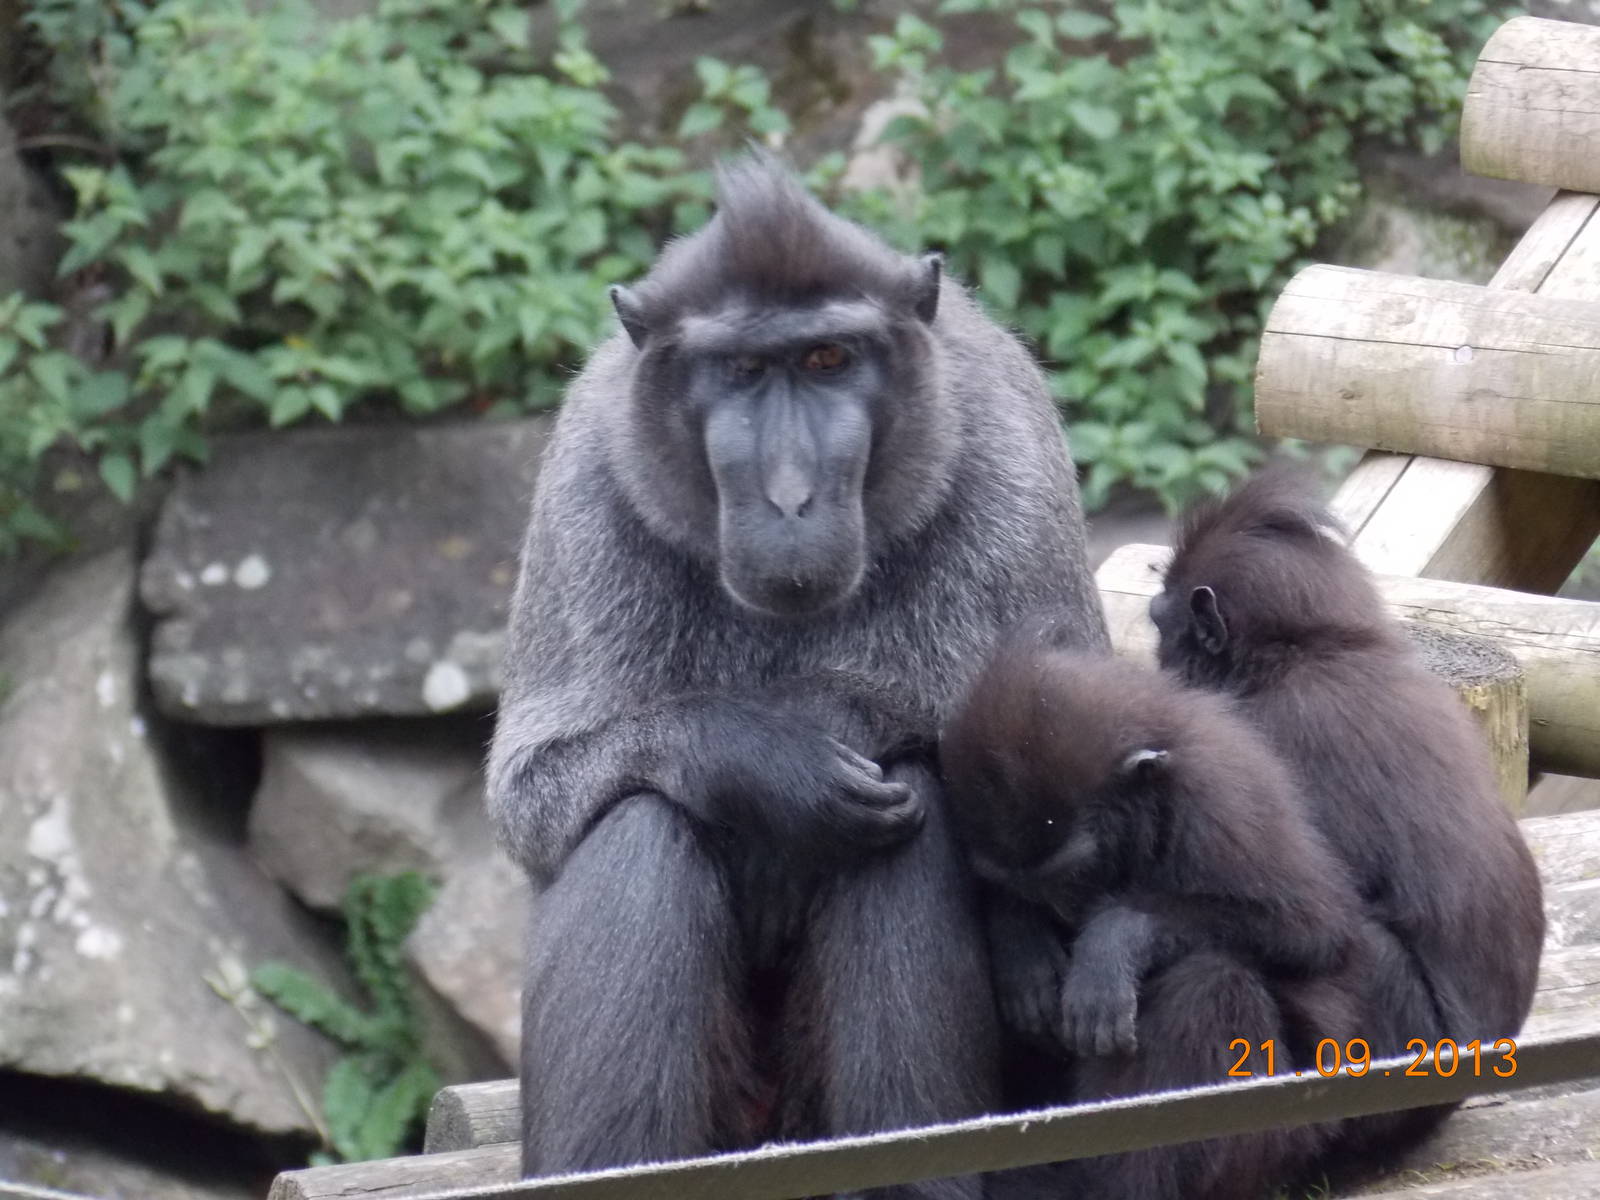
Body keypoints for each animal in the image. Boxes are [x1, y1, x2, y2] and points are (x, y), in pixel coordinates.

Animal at [486, 154, 1109, 1197]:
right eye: (741, 371)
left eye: (827, 360)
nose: (788, 497)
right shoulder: (587, 485)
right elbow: (529, 797)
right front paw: (765, 762)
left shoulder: (1011, 466)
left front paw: (836, 722)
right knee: (641, 817)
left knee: (907, 805)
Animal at [940, 641, 1368, 1200]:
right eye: (1027, 886)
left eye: (1072, 874)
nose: (1062, 909)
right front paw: (1021, 940)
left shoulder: (1218, 801)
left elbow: (1309, 927)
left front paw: (1113, 939)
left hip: (1289, 1137)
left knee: (1208, 979)